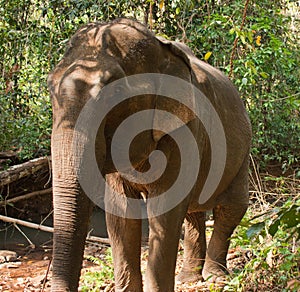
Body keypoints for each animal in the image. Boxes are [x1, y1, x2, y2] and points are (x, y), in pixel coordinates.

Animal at [48, 18, 252, 292]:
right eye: (50, 88)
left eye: (114, 94)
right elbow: (120, 213)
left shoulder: (185, 129)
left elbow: (164, 208)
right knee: (193, 213)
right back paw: (189, 278)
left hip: (241, 151)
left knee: (232, 208)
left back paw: (215, 277)